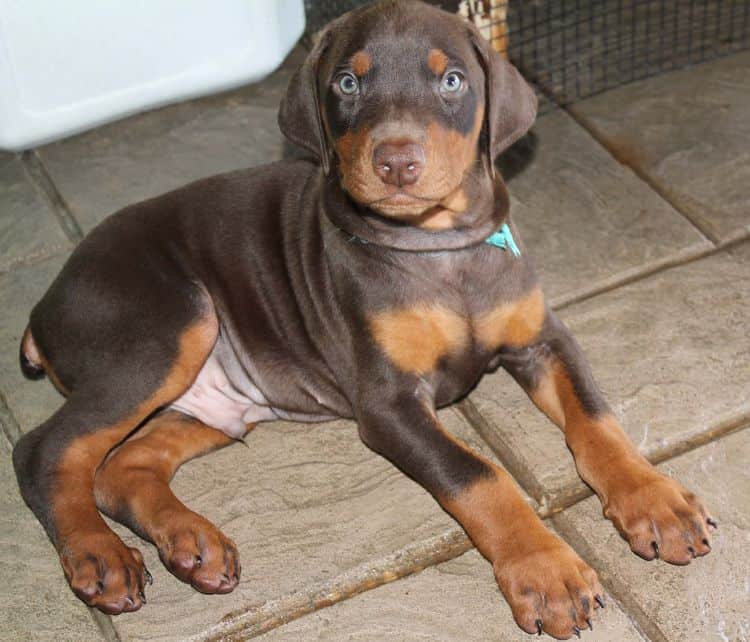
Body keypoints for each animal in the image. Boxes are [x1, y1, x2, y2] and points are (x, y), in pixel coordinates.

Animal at [11, 0, 716, 636]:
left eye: (452, 80)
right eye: (348, 83)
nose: (396, 161)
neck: (440, 249)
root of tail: (46, 302)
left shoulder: (543, 339)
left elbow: (596, 418)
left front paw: (655, 499)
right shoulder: (388, 403)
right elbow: (477, 473)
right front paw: (547, 571)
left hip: (214, 400)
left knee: (119, 469)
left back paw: (192, 543)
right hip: (169, 324)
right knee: (43, 451)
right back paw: (100, 555)